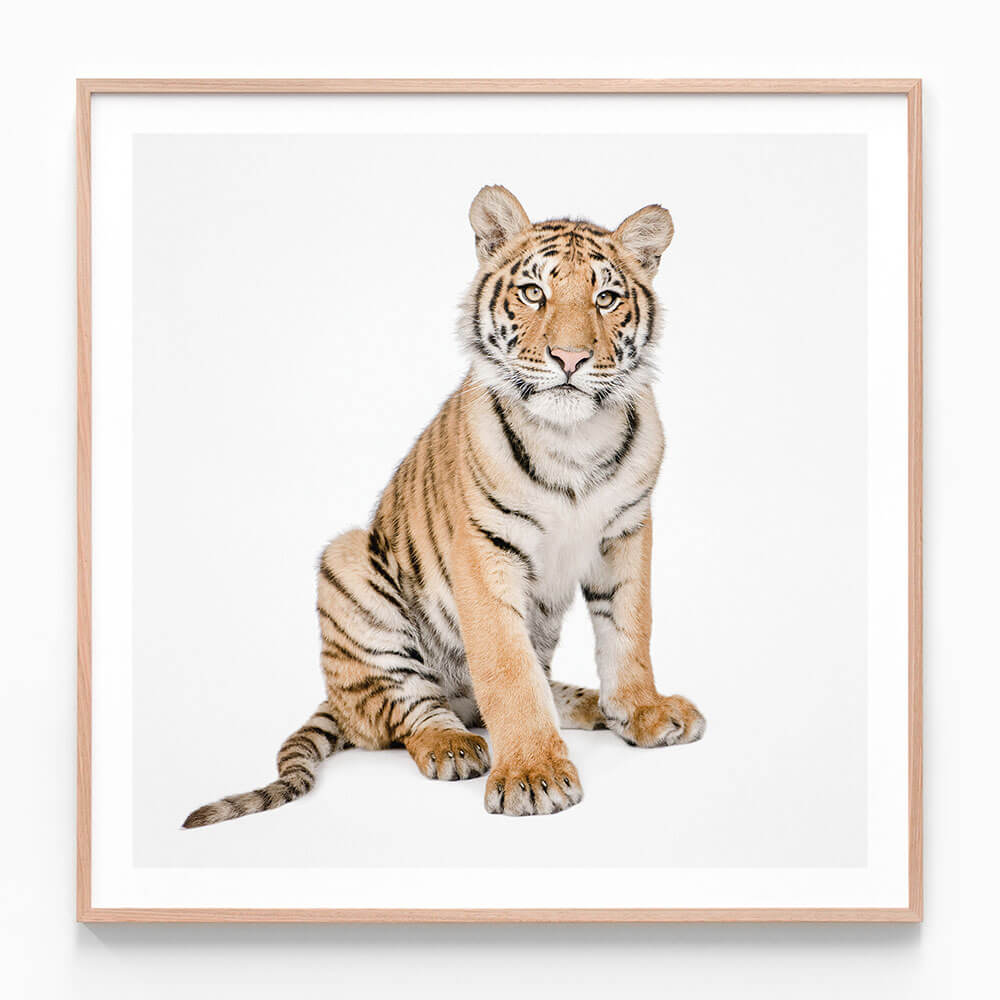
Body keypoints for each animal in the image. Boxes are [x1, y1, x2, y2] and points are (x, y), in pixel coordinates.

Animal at [182, 185, 705, 826]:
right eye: (534, 292)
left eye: (605, 298)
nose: (570, 358)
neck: (572, 439)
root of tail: (333, 697)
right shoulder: (484, 549)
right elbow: (506, 669)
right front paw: (532, 774)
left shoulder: (626, 533)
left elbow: (630, 631)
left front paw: (643, 712)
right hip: (348, 566)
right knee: (406, 713)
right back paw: (454, 745)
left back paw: (585, 704)